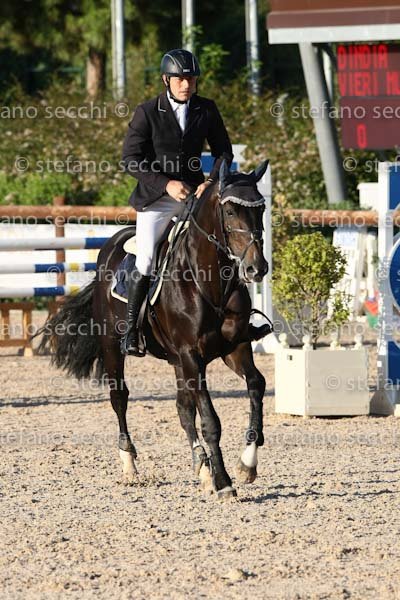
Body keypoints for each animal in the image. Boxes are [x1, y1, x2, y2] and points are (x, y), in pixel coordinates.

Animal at [37, 159, 270, 500]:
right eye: (229, 211)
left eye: (261, 208)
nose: (257, 268)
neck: (210, 282)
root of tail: (112, 244)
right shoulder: (191, 355)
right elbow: (210, 420)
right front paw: (224, 482)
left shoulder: (235, 348)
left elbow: (256, 385)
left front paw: (247, 464)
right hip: (114, 347)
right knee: (120, 398)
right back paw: (130, 465)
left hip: (176, 360)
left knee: (183, 408)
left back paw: (201, 467)